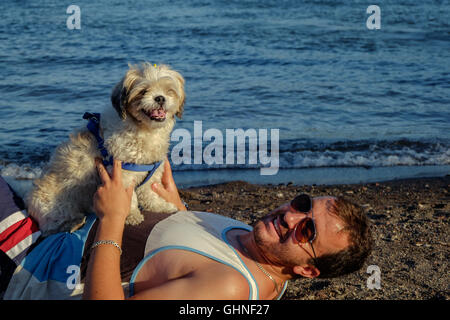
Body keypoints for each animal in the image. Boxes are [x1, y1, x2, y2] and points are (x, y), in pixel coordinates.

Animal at [26, 63, 185, 238]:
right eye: (143, 91)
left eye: (169, 90)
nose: (160, 98)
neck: (144, 129)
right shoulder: (121, 175)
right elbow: (129, 198)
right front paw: (131, 215)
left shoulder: (152, 170)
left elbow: (149, 192)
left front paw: (160, 206)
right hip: (56, 207)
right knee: (52, 227)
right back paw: (73, 223)